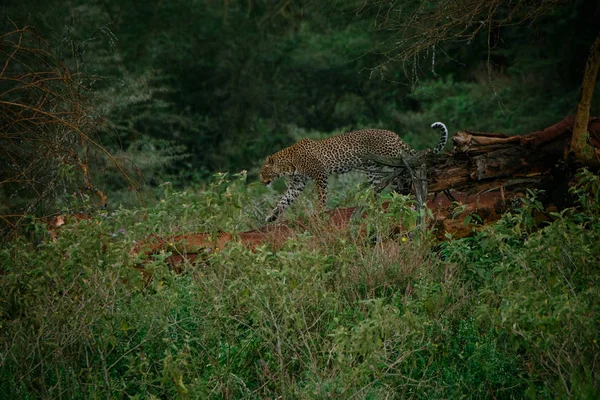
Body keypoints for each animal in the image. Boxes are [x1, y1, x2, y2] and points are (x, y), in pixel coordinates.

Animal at [260, 122, 448, 222]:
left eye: (262, 172)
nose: (261, 182)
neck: (288, 165)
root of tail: (393, 134)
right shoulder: (297, 184)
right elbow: (284, 200)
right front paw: (271, 217)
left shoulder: (320, 174)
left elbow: (322, 194)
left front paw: (319, 210)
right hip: (374, 169)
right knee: (379, 185)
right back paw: (374, 200)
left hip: (393, 158)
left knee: (407, 169)